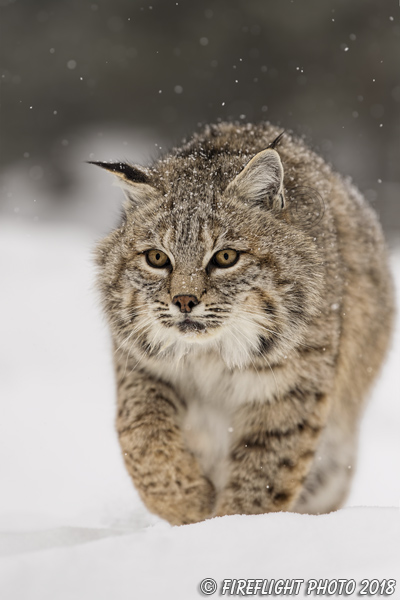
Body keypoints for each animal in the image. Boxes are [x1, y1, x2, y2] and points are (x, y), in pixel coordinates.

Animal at [93, 123, 394, 524]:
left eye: (225, 257)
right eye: (156, 258)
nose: (184, 301)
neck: (212, 354)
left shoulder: (291, 387)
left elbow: (264, 474)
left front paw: (231, 527)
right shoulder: (140, 362)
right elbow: (141, 434)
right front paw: (186, 506)